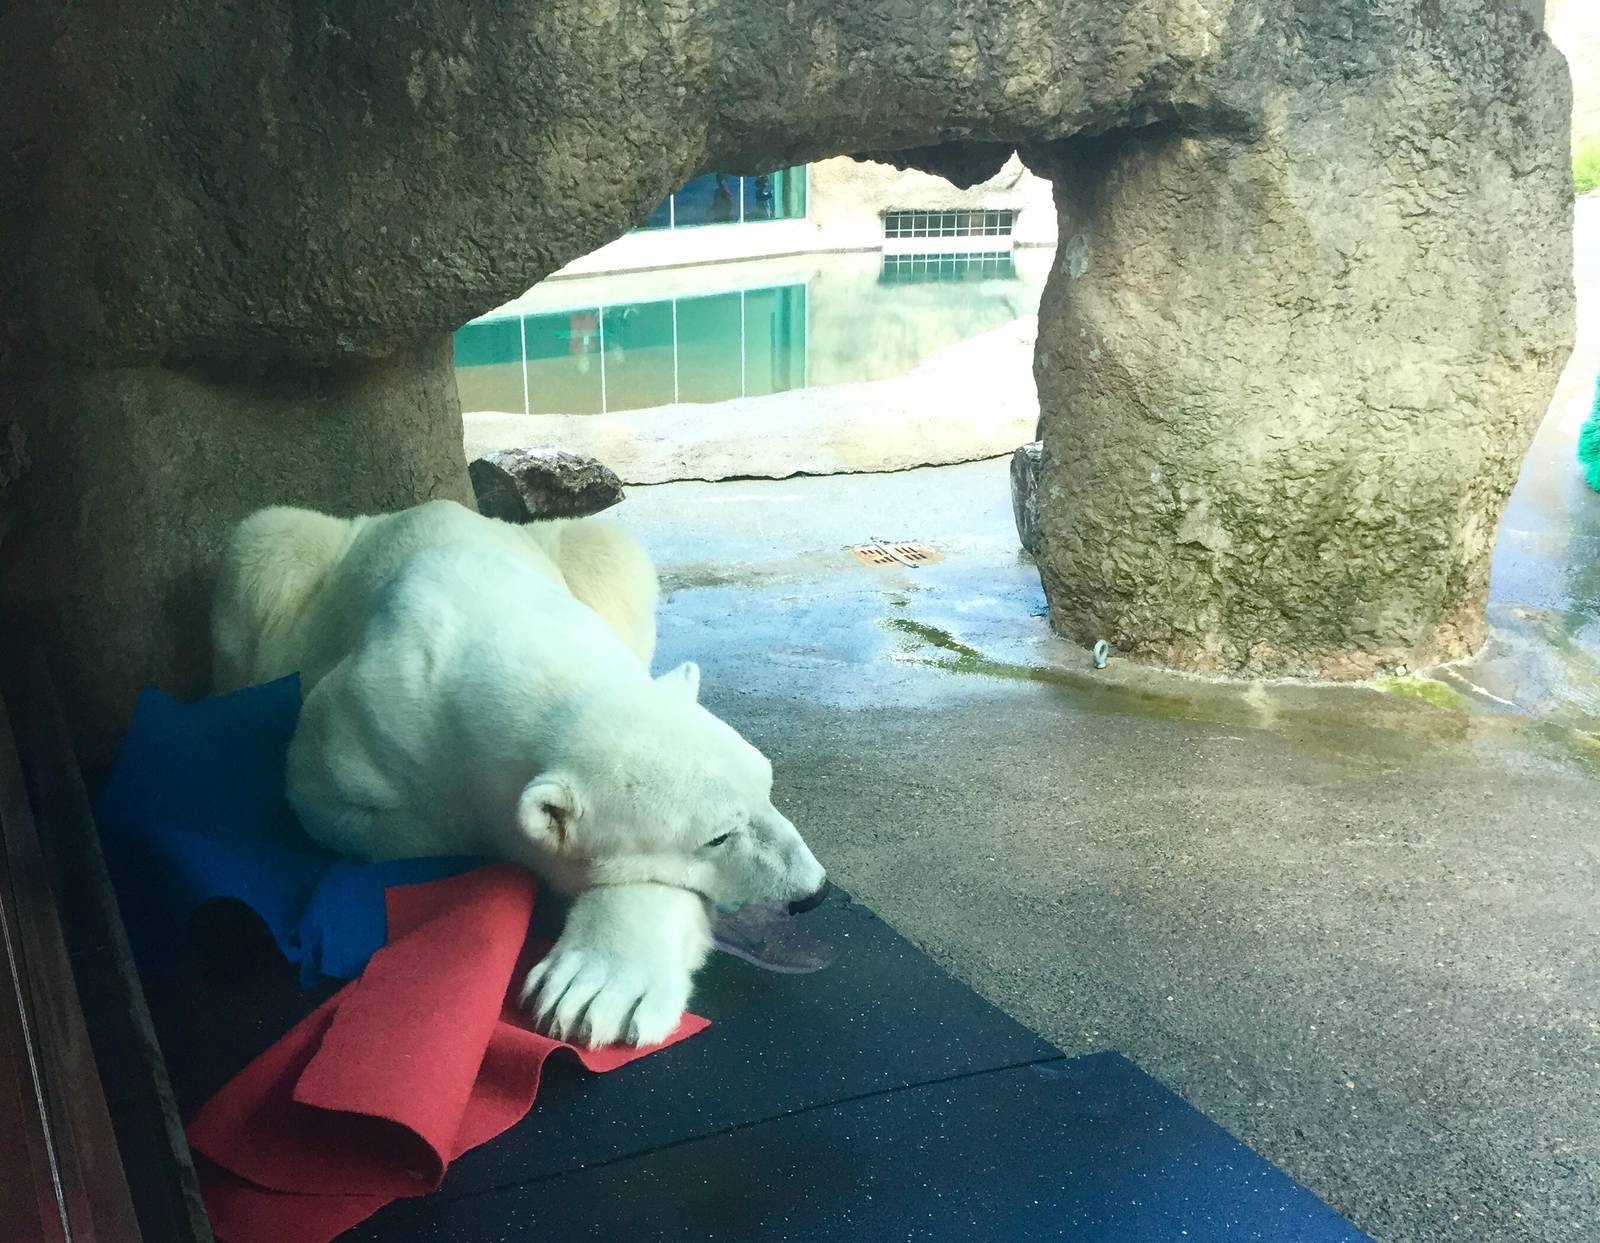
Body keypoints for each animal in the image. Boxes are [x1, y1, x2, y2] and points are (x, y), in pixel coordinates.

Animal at [212, 499, 827, 1047]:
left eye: (768, 787)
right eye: (716, 836)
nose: (812, 893)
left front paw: (599, 981)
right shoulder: (358, 730)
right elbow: (343, 806)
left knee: (611, 547)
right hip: (294, 574)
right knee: (263, 552)